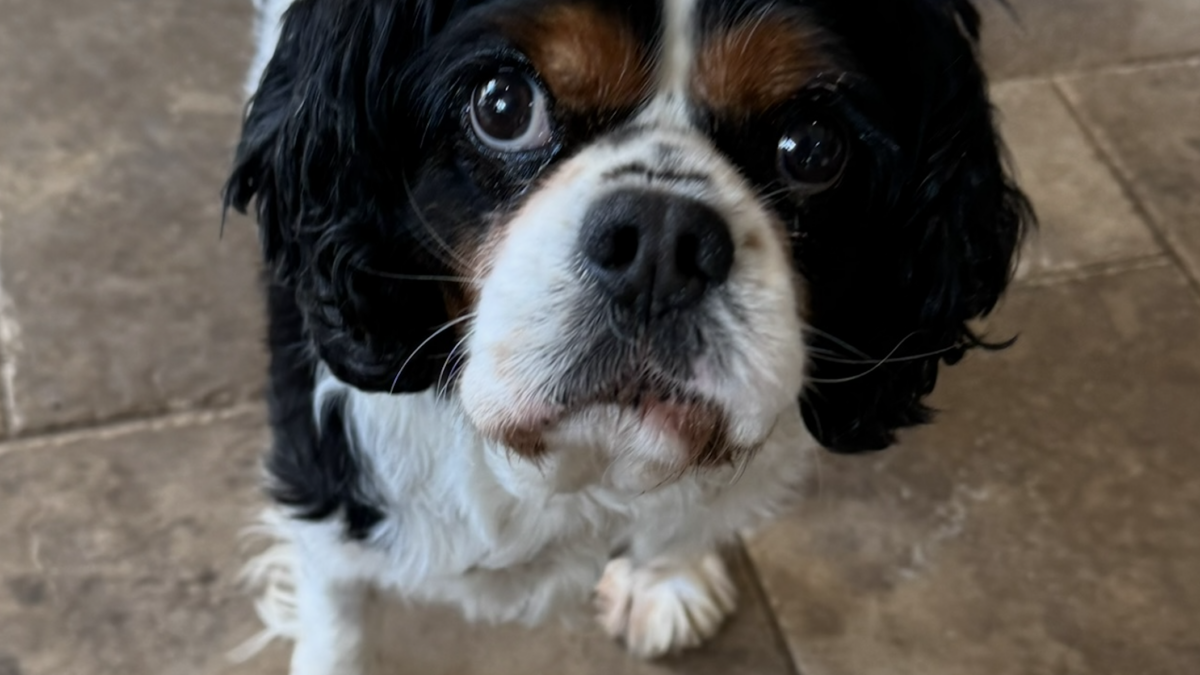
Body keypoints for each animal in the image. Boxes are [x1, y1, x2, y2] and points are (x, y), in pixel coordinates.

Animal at [223, 1, 1032, 667]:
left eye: (811, 146)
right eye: (502, 104)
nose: (660, 242)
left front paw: (666, 577)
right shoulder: (328, 483)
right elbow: (337, 625)